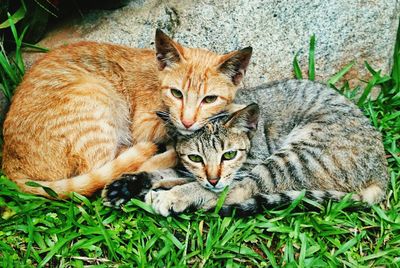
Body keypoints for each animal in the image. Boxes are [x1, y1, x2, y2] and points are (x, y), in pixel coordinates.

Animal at [3, 29, 252, 198]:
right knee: (113, 170)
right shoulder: (144, 125)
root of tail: (8, 163)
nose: (188, 121)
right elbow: (169, 128)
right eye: (176, 93)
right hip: (95, 95)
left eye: (209, 99)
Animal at [102, 79, 388, 216]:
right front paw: (127, 184)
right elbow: (170, 172)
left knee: (238, 191)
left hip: (293, 157)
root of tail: (382, 174)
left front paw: (174, 195)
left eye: (229, 154)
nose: (213, 178)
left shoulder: (241, 168)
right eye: (196, 157)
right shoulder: (193, 169)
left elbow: (211, 186)